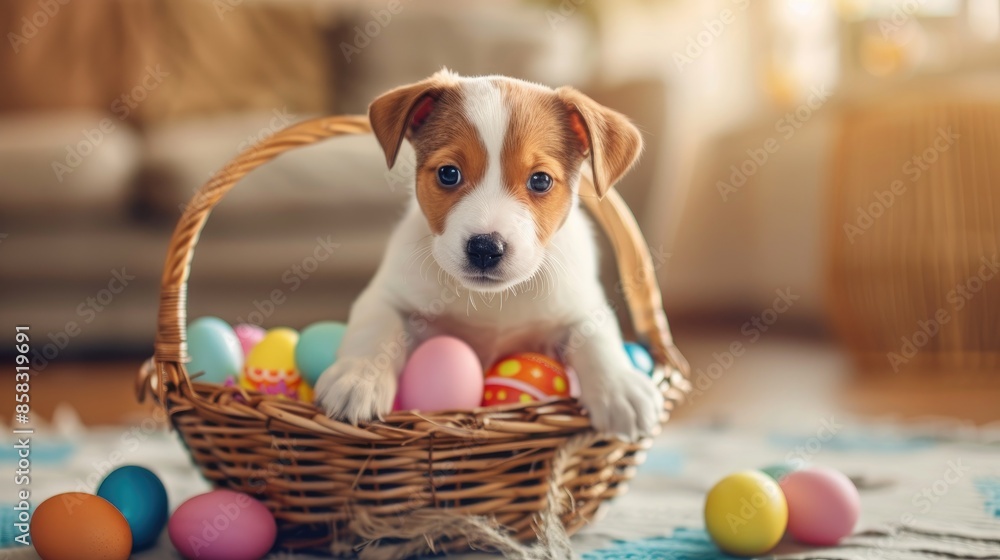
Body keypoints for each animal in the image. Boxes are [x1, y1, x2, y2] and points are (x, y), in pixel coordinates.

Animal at [316, 70, 664, 440]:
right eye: (448, 173)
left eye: (540, 181)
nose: (485, 248)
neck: (493, 303)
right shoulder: (384, 295)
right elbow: (376, 330)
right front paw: (358, 377)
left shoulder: (584, 305)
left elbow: (597, 339)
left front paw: (620, 388)